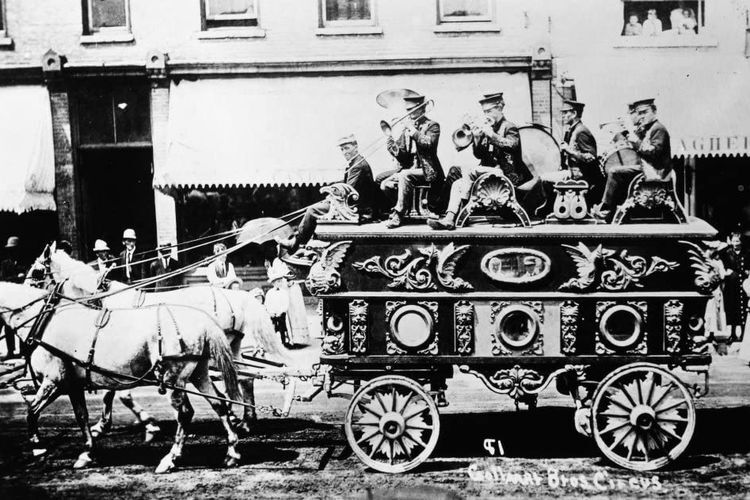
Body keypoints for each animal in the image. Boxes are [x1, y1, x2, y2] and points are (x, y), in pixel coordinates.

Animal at [0, 282, 242, 473]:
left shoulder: (54, 382)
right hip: (198, 373)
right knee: (219, 404)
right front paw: (87, 453)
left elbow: (31, 412)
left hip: (173, 378)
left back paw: (170, 459)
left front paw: (38, 447)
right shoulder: (73, 385)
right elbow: (81, 417)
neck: (44, 320)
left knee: (184, 413)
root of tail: (204, 319)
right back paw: (231, 451)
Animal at [35, 244, 292, 437]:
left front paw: (103, 425)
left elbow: (111, 392)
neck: (106, 299)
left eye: (37, 271)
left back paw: (240, 416)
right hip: (231, 346)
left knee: (240, 377)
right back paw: (244, 418)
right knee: (243, 377)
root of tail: (239, 296)